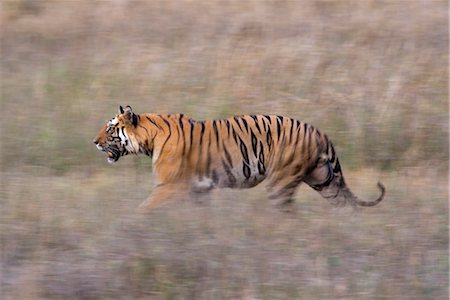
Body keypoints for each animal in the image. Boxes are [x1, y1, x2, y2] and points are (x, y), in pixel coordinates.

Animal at [93, 106, 384, 210]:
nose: (94, 142)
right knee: (345, 205)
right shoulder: (198, 190)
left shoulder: (169, 186)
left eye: (110, 128)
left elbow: (145, 209)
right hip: (323, 179)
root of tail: (317, 130)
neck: (149, 138)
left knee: (285, 215)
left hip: (280, 181)